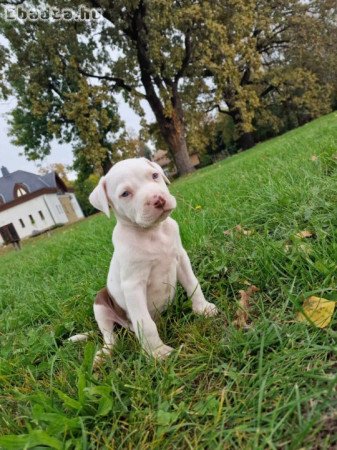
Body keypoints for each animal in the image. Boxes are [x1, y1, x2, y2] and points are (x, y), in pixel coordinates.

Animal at [84, 157, 217, 362]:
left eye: (154, 175)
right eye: (125, 193)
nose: (158, 199)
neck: (153, 232)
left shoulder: (181, 258)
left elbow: (193, 284)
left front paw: (203, 309)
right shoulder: (133, 286)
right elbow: (145, 323)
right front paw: (157, 353)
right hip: (100, 304)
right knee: (110, 337)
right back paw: (103, 355)